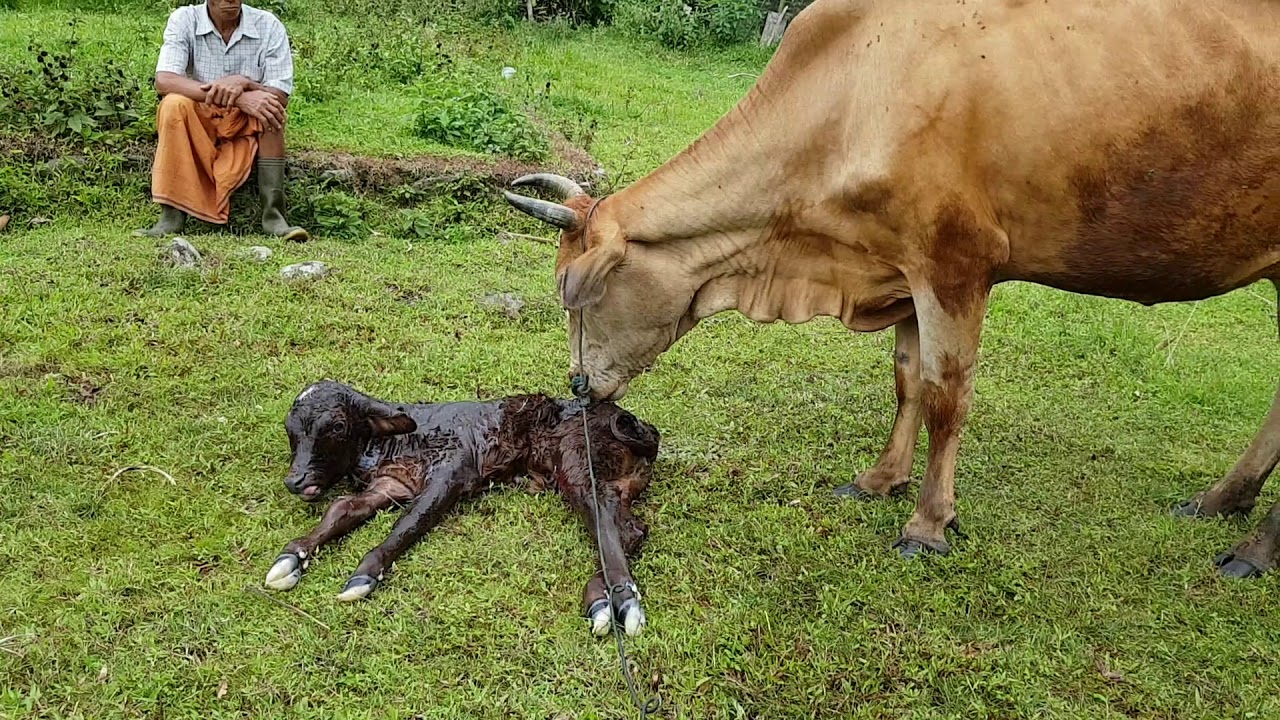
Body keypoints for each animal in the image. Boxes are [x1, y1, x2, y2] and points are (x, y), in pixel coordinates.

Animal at [261, 379, 660, 630]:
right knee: (632, 529)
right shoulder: (390, 484)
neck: (395, 441)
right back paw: (599, 600)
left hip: (578, 463)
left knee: (607, 522)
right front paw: (292, 557)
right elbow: (341, 509)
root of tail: (640, 427)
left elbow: (408, 523)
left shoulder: (451, 472)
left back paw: (624, 601)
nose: (295, 481)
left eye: (337, 426)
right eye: (291, 431)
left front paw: (365, 574)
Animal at [504, 0, 1280, 571]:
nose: (576, 386)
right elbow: (906, 379)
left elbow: (945, 398)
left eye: (574, 290)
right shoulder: (900, 269)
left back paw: (1254, 547)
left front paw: (928, 523)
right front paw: (882, 479)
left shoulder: (955, 266)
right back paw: (1223, 501)